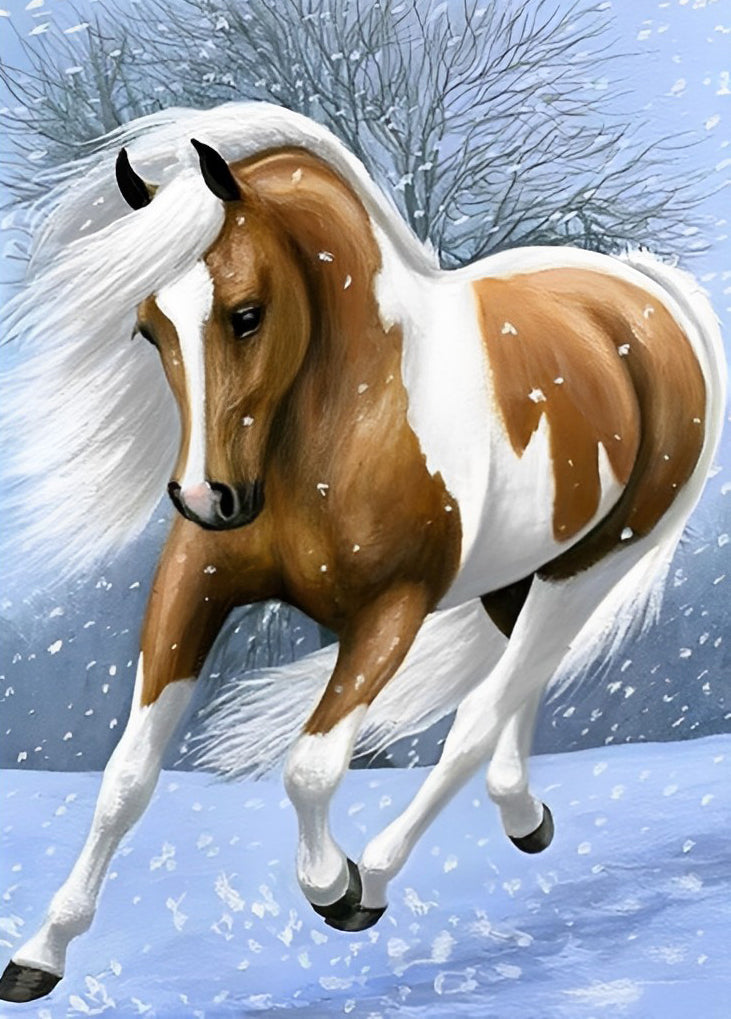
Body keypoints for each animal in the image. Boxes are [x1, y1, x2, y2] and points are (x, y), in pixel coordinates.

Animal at [0, 102, 725, 1003]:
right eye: (147, 325)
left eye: (246, 312)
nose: (206, 500)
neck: (345, 419)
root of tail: (649, 292)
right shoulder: (193, 582)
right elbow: (126, 778)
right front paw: (40, 951)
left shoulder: (390, 610)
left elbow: (309, 765)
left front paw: (332, 884)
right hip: (517, 577)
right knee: (516, 693)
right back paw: (522, 816)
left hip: (589, 565)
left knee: (478, 717)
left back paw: (378, 874)